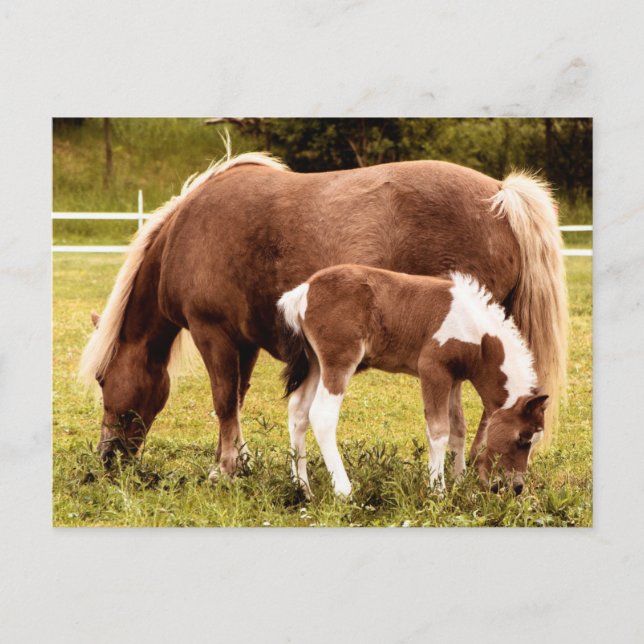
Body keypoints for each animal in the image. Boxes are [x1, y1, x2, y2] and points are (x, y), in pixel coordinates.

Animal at [278, 265, 548, 497]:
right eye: (523, 438)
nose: (516, 487)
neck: (474, 330)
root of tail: (304, 291)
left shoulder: (454, 379)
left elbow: (458, 428)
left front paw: (459, 483)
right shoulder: (432, 370)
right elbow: (439, 431)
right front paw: (438, 492)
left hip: (315, 362)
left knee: (298, 410)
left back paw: (303, 489)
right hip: (339, 360)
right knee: (321, 415)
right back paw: (344, 491)